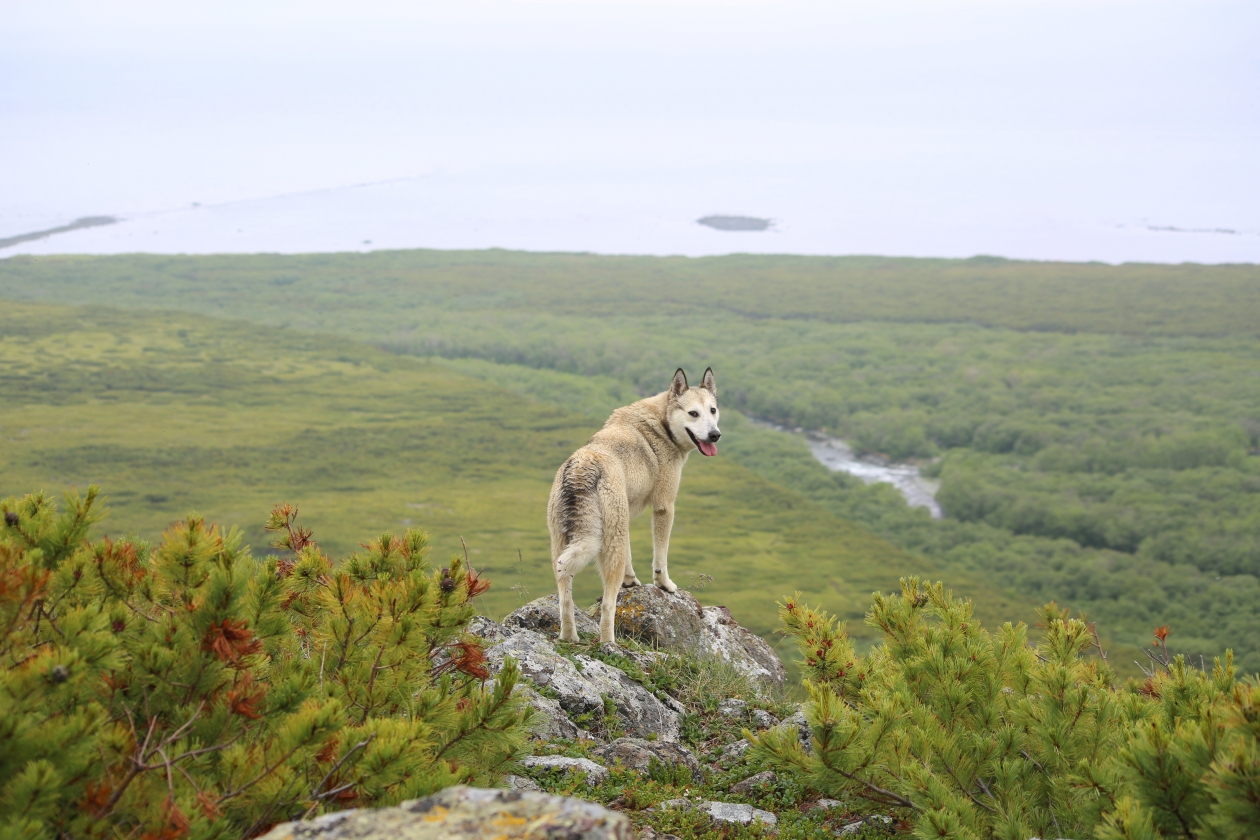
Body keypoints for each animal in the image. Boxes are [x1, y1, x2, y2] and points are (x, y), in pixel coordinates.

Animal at [549, 365, 725, 644]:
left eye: (713, 410)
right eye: (693, 413)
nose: (715, 435)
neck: (661, 425)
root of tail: (583, 465)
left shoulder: (626, 517)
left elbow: (631, 558)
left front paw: (631, 582)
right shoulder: (664, 507)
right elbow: (660, 558)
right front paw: (665, 586)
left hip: (563, 545)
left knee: (565, 599)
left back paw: (569, 638)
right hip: (608, 547)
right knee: (608, 605)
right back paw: (608, 644)